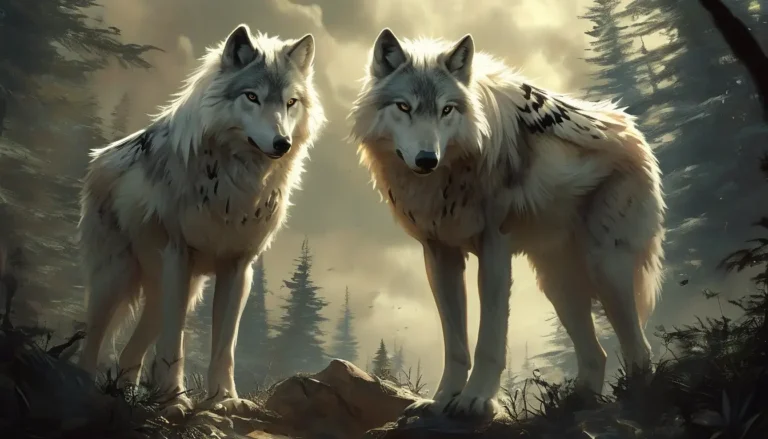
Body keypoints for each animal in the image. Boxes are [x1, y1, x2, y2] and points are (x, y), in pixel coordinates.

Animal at [77, 24, 325, 416]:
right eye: (252, 97)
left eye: (290, 102)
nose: (282, 143)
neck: (234, 185)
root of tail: (100, 155)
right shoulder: (177, 256)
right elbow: (174, 343)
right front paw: (171, 399)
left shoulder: (239, 269)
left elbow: (225, 346)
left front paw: (224, 398)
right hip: (116, 279)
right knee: (93, 340)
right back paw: (86, 386)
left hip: (175, 291)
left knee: (131, 351)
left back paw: (128, 394)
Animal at [349, 29, 665, 420]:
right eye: (404, 107)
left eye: (446, 109)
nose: (426, 159)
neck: (449, 176)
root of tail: (632, 129)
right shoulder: (439, 254)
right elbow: (455, 345)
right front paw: (440, 401)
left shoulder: (495, 250)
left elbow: (489, 339)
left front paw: (475, 401)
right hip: (557, 285)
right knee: (598, 353)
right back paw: (574, 404)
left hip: (604, 268)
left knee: (639, 347)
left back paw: (635, 401)